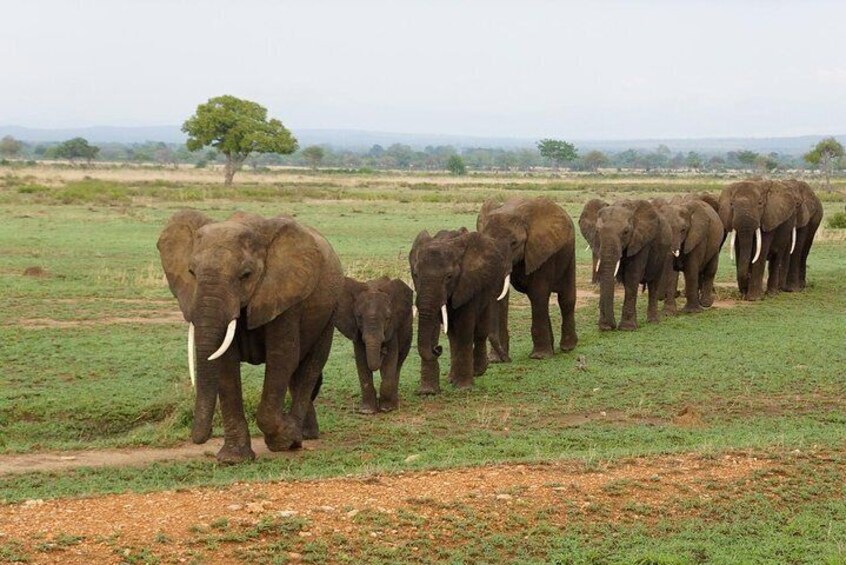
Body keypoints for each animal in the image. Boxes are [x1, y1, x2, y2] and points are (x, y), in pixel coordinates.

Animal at [157, 209, 342, 460]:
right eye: (191, 272)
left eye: (245, 275)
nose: (202, 436)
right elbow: (225, 363)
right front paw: (232, 459)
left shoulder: (285, 296)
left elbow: (282, 357)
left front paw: (282, 440)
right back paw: (305, 435)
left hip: (329, 311)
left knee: (310, 367)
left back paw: (296, 439)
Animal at [334, 276, 414, 412]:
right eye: (359, 317)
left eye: (387, 318)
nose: (383, 351)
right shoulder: (357, 331)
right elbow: (361, 361)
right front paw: (367, 411)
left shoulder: (392, 328)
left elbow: (390, 360)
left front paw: (386, 409)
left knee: (399, 363)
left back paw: (394, 404)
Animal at [410, 227, 510, 394]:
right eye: (416, 275)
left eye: (449, 277)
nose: (437, 349)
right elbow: (435, 326)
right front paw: (428, 392)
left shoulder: (467, 283)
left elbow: (464, 327)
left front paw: (464, 388)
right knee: (452, 335)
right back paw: (452, 378)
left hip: (490, 287)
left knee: (480, 330)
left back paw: (478, 371)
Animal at [480, 196, 580, 360]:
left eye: (514, 243)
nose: (507, 359)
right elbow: (503, 298)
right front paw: (496, 360)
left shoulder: (543, 250)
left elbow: (539, 292)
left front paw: (539, 357)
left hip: (569, 254)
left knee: (565, 299)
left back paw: (567, 347)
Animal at [580, 199, 672, 328]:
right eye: (597, 231)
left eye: (626, 232)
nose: (612, 325)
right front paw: (605, 327)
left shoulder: (640, 241)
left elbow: (632, 276)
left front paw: (627, 327)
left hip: (663, 252)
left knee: (654, 283)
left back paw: (653, 321)